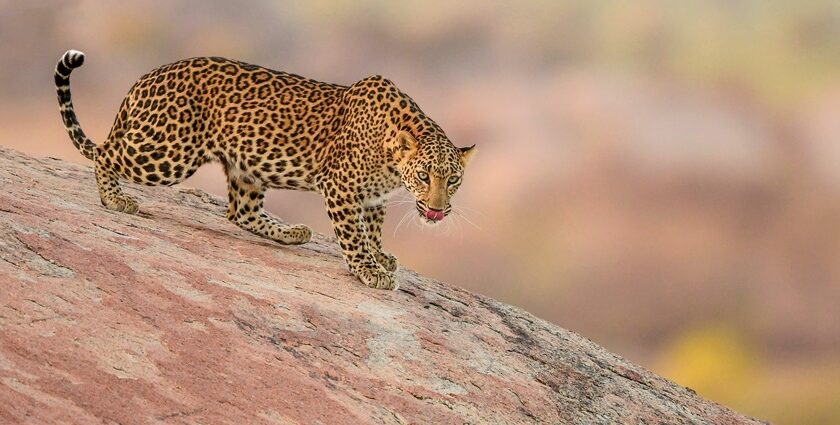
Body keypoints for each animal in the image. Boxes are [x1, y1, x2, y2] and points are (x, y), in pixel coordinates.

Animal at [54, 48, 472, 288]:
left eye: (452, 179)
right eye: (424, 176)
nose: (438, 210)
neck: (391, 158)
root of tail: (144, 79)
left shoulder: (372, 198)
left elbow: (372, 229)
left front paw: (381, 256)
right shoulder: (341, 187)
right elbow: (353, 236)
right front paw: (369, 270)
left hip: (245, 167)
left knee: (240, 212)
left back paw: (292, 233)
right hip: (167, 151)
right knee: (105, 153)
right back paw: (115, 199)